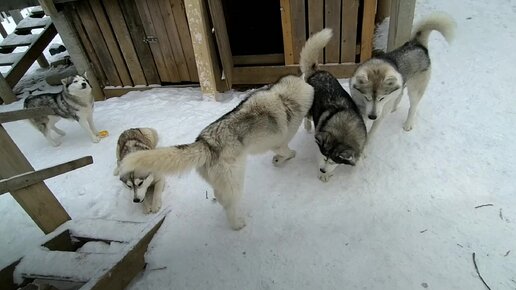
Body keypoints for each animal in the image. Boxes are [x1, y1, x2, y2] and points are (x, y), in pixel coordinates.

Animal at [119, 76, 312, 230]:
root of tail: (205, 143)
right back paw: (237, 224)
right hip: (235, 181)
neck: (284, 96)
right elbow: (287, 152)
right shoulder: (280, 143)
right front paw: (287, 157)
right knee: (230, 206)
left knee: (220, 195)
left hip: (223, 179)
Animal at [300, 27, 368, 181]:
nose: (322, 170)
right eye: (325, 157)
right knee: (306, 117)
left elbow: (359, 159)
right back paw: (307, 126)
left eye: (333, 161)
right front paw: (324, 175)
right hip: (309, 108)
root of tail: (316, 71)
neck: (344, 128)